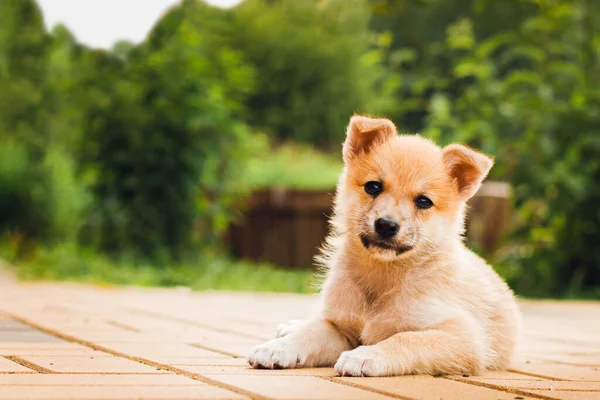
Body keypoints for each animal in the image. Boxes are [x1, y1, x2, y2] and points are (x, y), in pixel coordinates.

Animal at [247, 115, 520, 376]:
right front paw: (277, 348)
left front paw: (365, 356)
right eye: (373, 186)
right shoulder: (341, 328)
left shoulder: (463, 337)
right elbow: (310, 333)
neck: (383, 277)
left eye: (424, 201)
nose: (386, 225)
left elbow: (405, 338)